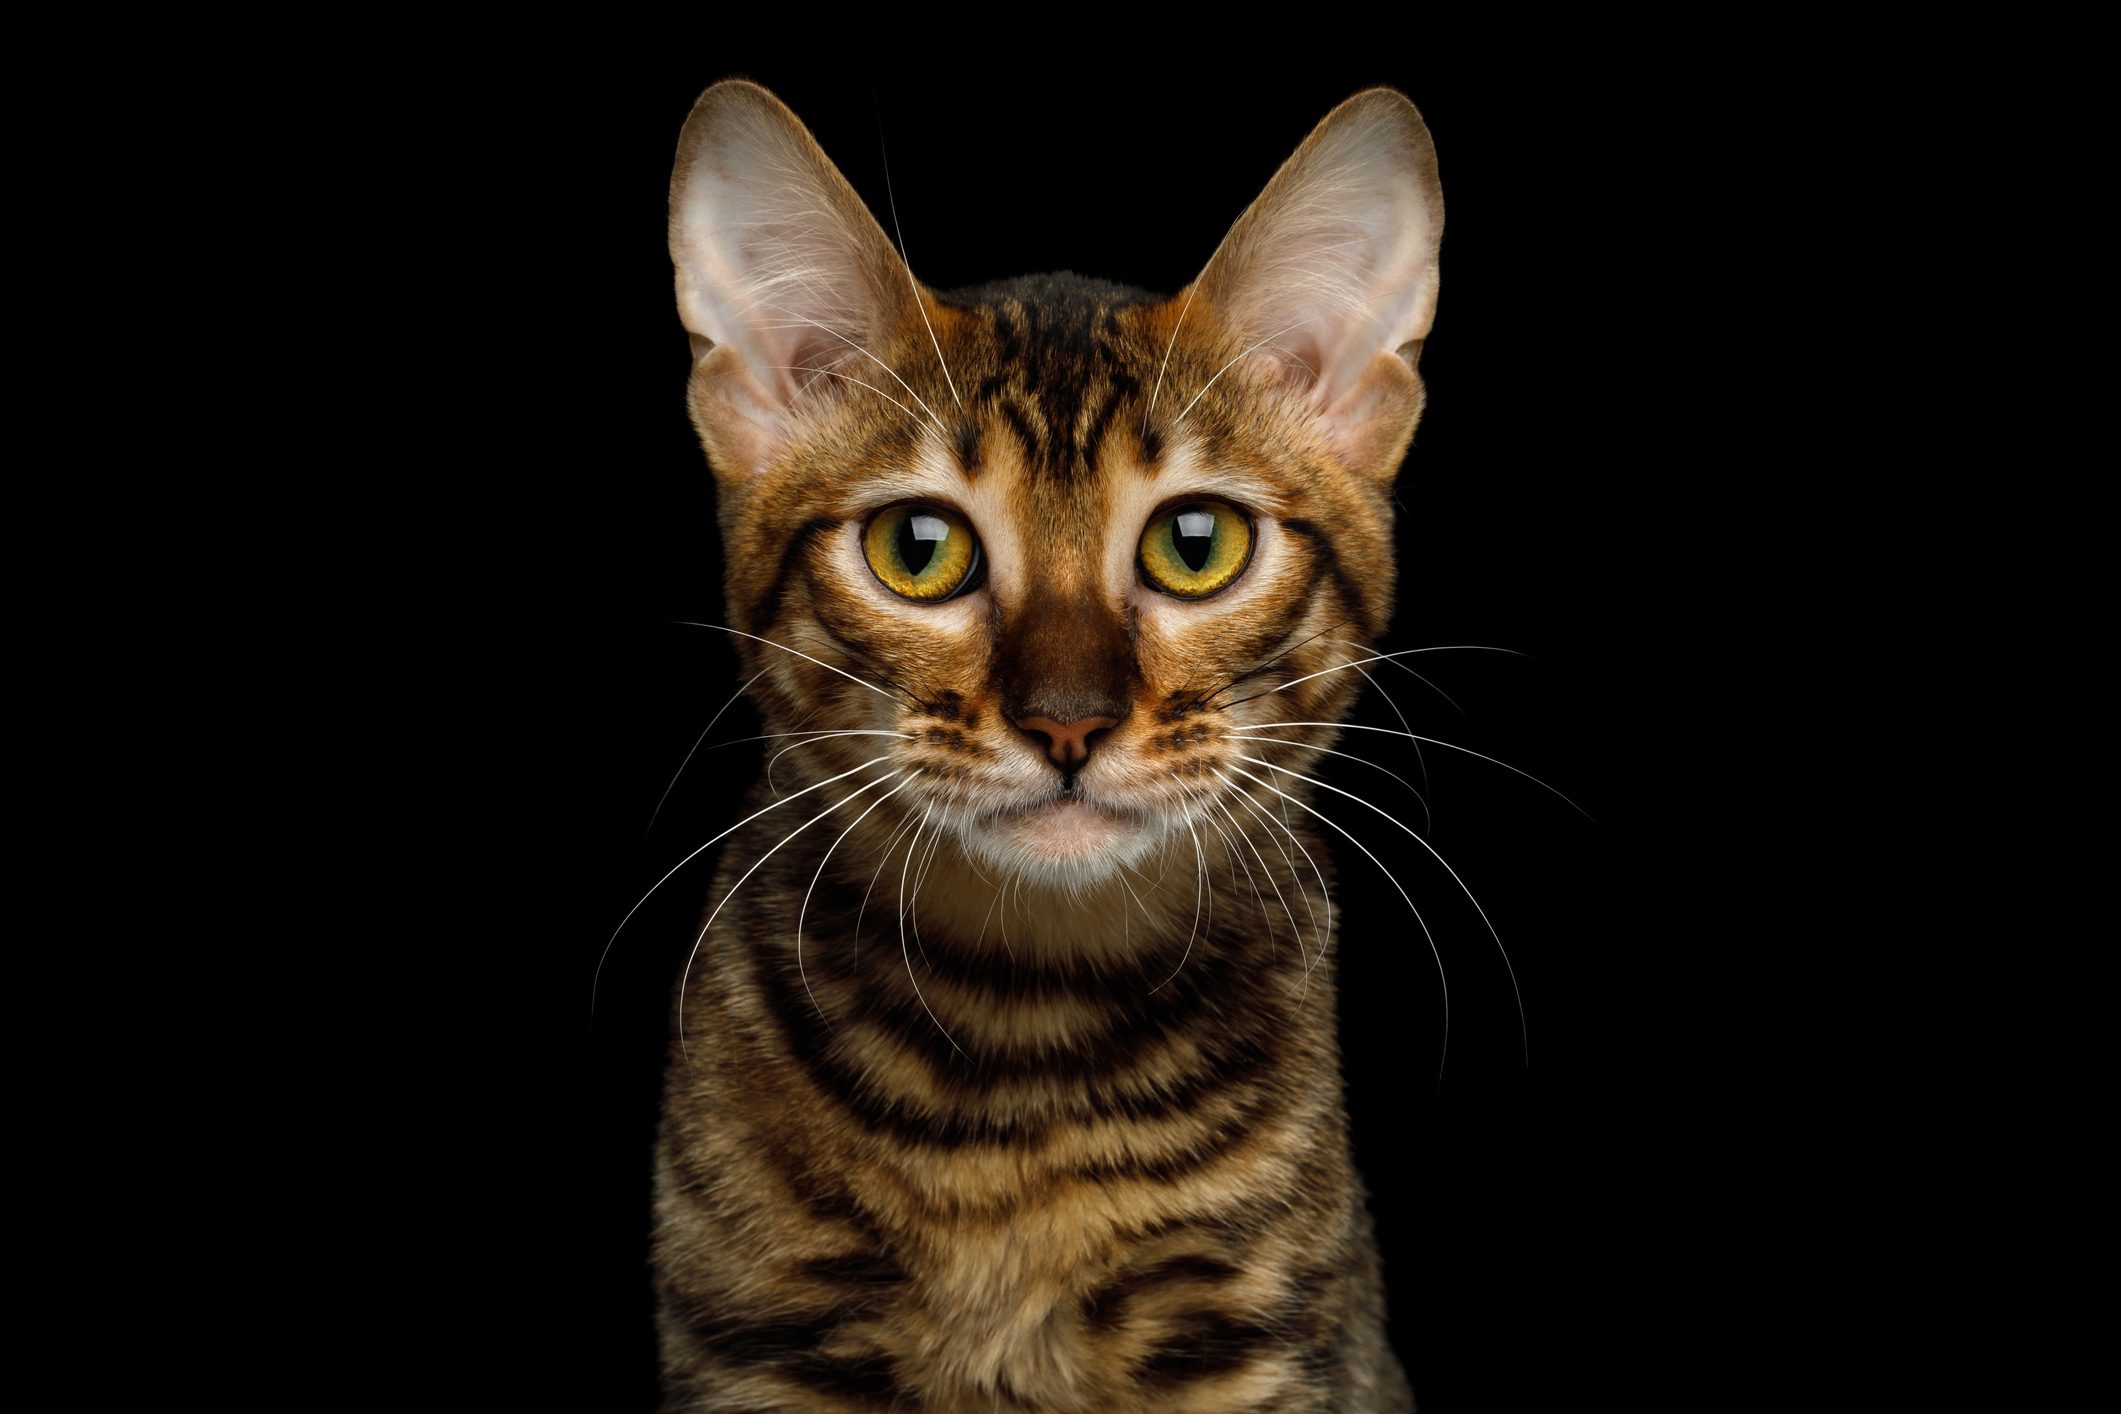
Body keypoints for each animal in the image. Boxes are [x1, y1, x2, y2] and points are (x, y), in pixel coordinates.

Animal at [649, 80, 1442, 1414]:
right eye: (917, 549)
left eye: (1195, 543)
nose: (1067, 718)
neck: (1023, 1050)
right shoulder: (755, 1328)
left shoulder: (1259, 1331)